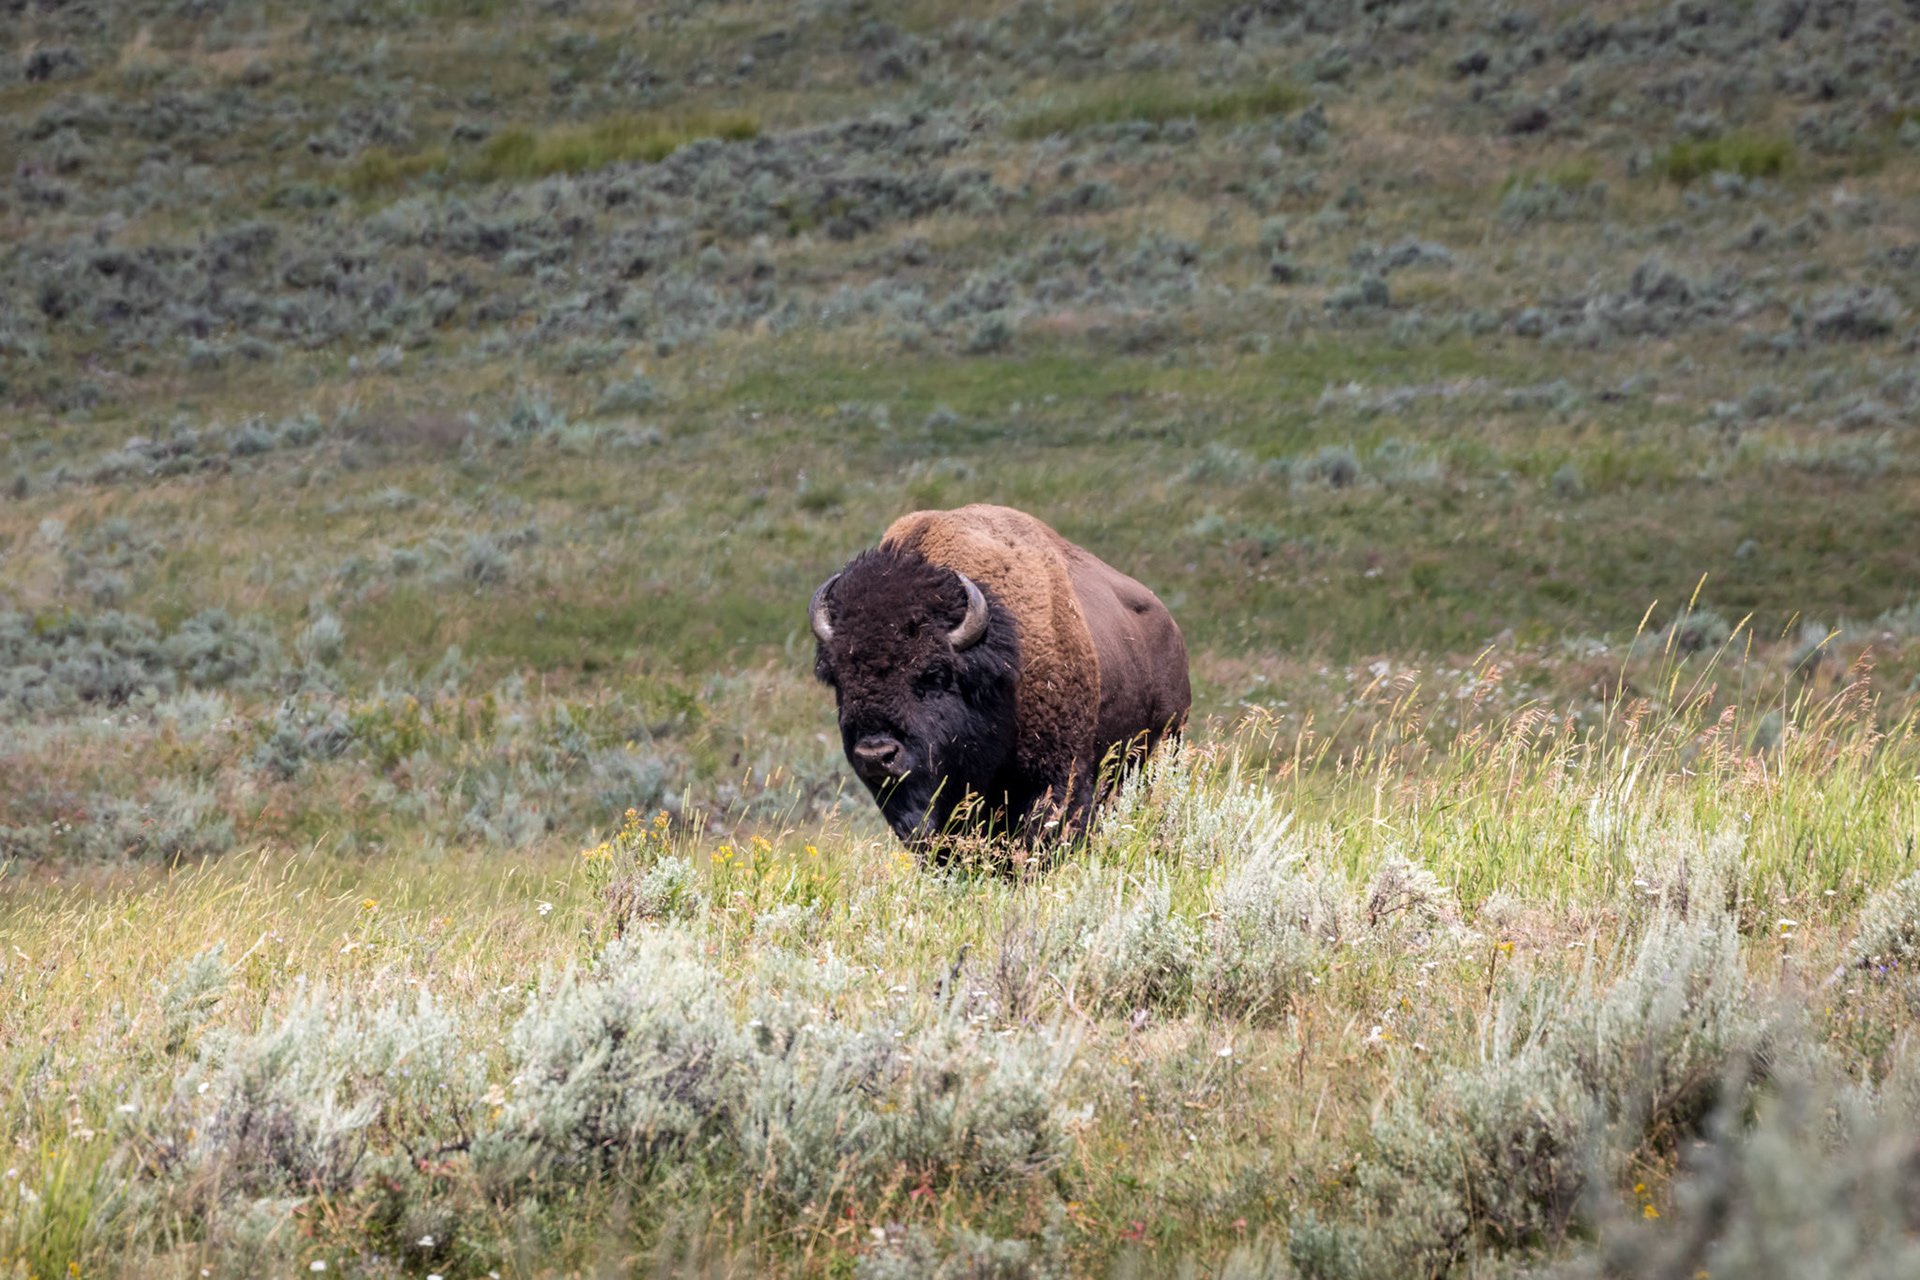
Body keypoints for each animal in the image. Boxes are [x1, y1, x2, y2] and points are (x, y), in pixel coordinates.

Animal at [809, 504, 1190, 855]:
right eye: (839, 679)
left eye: (933, 674)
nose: (876, 755)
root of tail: (1171, 627)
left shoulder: (1055, 774)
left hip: (1162, 748)